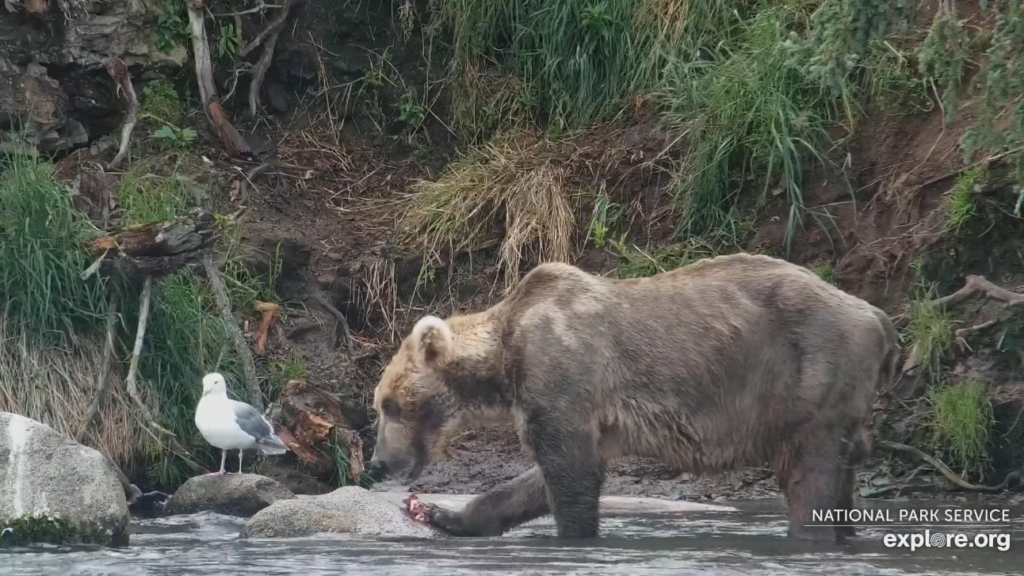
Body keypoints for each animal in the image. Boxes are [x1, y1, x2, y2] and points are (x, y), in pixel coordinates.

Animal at [368, 250, 897, 537]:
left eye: (391, 405)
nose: (377, 464)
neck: (506, 360)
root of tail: (876, 315)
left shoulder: (564, 371)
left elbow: (571, 474)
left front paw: (574, 535)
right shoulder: (566, 410)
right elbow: (540, 477)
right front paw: (444, 513)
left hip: (810, 375)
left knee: (811, 475)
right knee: (841, 477)